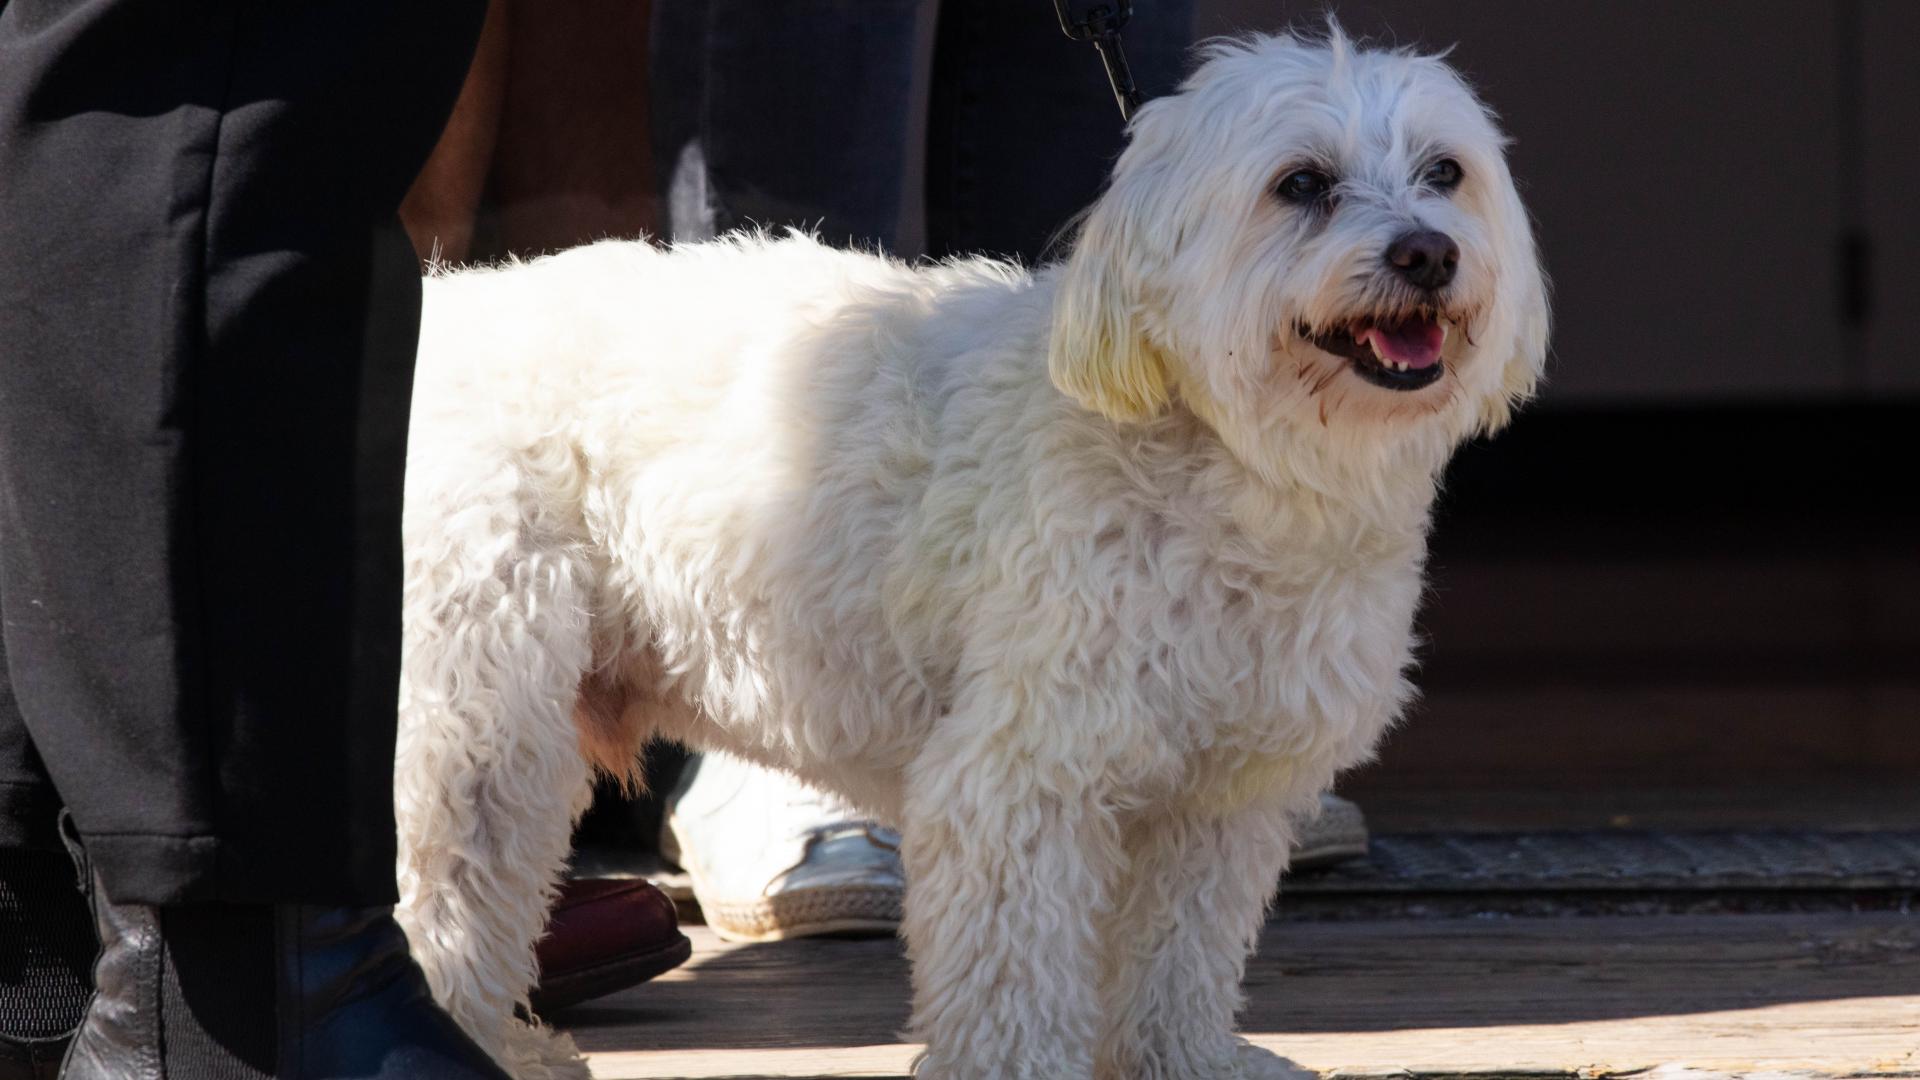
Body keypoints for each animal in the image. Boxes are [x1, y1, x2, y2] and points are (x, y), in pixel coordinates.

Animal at [389, 29, 1543, 1068]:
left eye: (1446, 172)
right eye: (1301, 183)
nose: (1428, 252)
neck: (1231, 470)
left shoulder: (1218, 798)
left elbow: (1180, 957)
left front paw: (1185, 1059)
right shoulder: (1021, 776)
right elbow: (1014, 982)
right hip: (473, 717)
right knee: (445, 899)